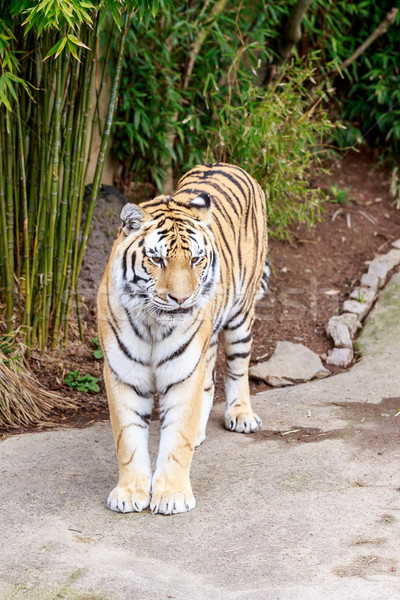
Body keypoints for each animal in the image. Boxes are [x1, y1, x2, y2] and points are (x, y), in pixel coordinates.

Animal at [98, 162, 270, 512]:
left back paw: (242, 415)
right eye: (157, 259)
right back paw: (200, 432)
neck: (153, 323)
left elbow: (176, 440)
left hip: (240, 317)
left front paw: (172, 496)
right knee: (209, 380)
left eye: (195, 259)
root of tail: (225, 163)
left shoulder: (182, 372)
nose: (182, 299)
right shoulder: (123, 374)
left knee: (237, 369)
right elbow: (128, 439)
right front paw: (130, 493)